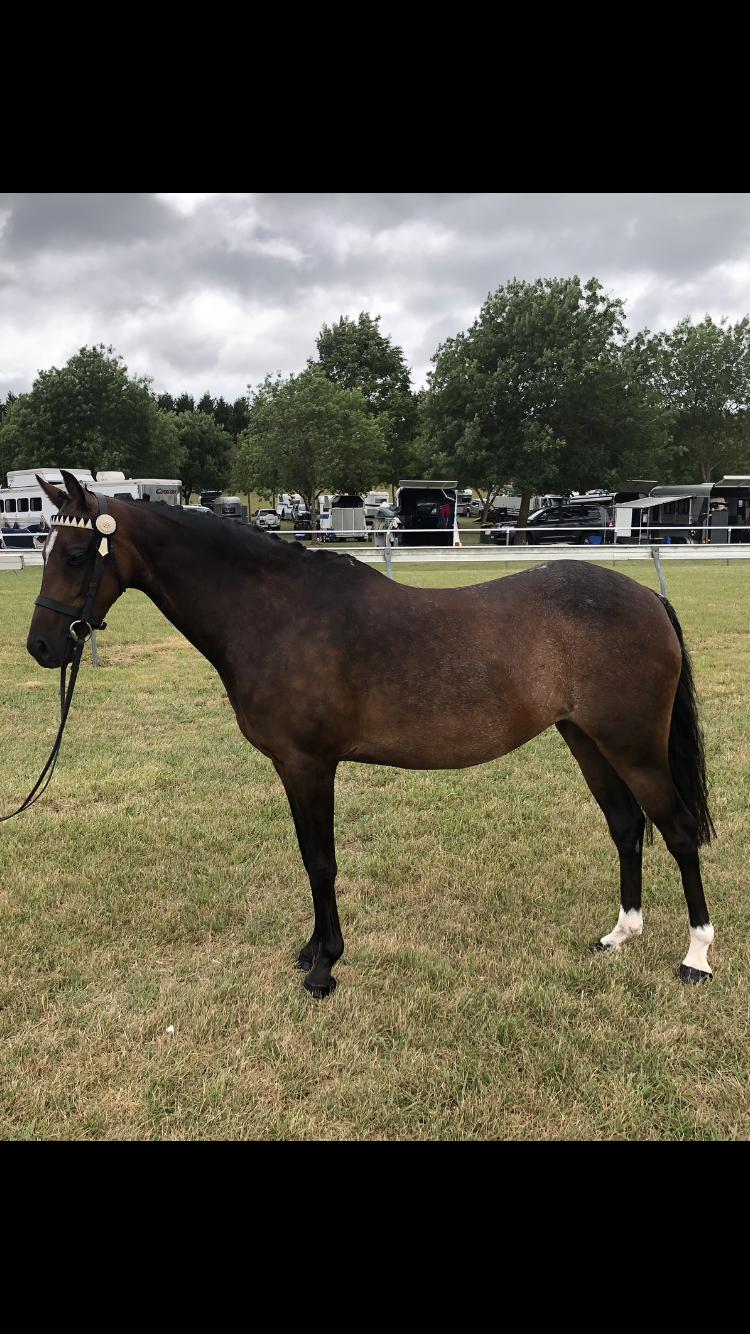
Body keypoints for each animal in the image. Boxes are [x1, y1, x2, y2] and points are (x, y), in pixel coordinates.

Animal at [26, 470, 716, 997]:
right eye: (43, 550)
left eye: (78, 555)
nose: (41, 647)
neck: (278, 615)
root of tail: (647, 600)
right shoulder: (295, 768)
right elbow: (310, 858)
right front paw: (312, 951)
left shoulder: (308, 765)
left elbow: (321, 861)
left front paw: (325, 967)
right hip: (587, 740)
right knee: (627, 828)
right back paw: (619, 935)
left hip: (633, 747)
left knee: (679, 832)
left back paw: (696, 957)